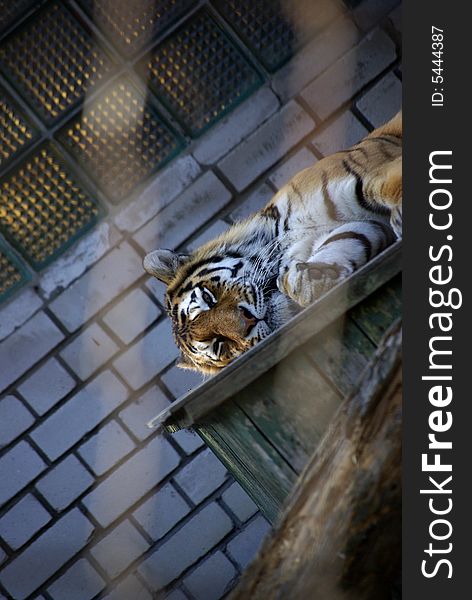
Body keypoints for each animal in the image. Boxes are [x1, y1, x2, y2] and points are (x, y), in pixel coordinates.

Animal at [144, 110, 402, 372]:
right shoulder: (370, 226)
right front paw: (306, 279)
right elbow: (347, 239)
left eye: (208, 298)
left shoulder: (371, 175)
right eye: (218, 344)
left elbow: (392, 186)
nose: (249, 321)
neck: (289, 239)